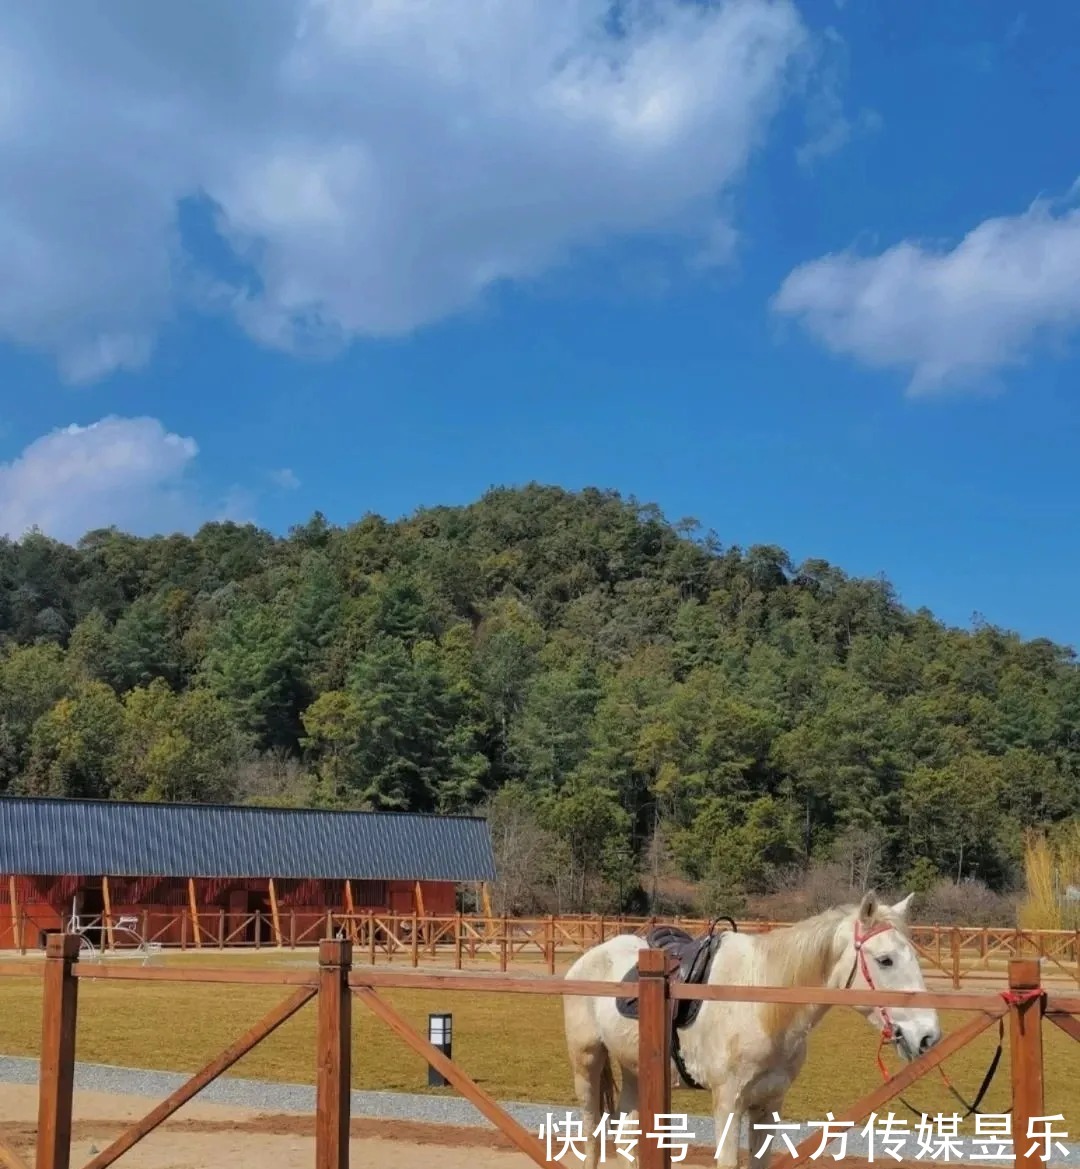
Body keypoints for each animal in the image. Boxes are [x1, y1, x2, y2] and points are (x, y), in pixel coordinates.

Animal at [561, 888, 939, 1164]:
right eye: (885, 960)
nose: (928, 1036)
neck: (761, 1004)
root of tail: (590, 958)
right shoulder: (728, 1103)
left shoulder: (768, 1105)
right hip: (587, 1062)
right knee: (591, 1132)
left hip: (636, 1070)